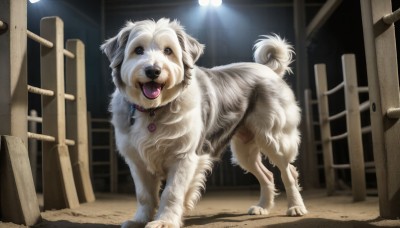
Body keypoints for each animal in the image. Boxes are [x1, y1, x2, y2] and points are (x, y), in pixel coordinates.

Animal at [101, 18, 308, 228]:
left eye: (168, 50)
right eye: (138, 50)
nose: (153, 70)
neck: (154, 111)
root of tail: (268, 69)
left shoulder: (184, 157)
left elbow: (171, 192)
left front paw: (165, 221)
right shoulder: (137, 161)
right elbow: (144, 195)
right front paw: (140, 220)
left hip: (274, 139)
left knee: (289, 172)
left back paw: (296, 207)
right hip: (244, 149)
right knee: (267, 175)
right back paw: (262, 207)